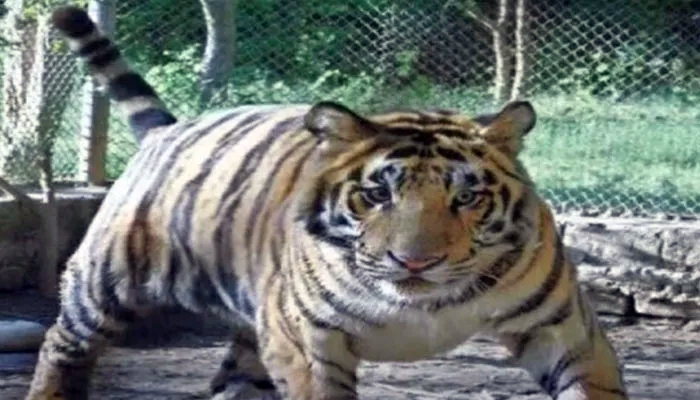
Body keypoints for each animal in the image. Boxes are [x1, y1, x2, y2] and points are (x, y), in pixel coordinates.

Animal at [27, 5, 628, 400]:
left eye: (466, 197)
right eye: (377, 194)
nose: (415, 262)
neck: (428, 305)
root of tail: (168, 129)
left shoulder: (565, 332)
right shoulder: (309, 344)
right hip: (106, 280)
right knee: (62, 342)